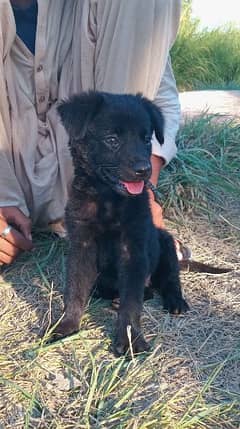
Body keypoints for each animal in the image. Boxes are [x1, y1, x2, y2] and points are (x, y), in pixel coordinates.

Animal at [50, 91, 189, 354]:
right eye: (112, 139)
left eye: (146, 139)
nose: (144, 170)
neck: (108, 201)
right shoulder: (81, 245)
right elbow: (74, 288)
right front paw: (67, 325)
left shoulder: (133, 250)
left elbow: (132, 301)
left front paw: (130, 339)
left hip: (165, 244)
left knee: (168, 279)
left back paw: (176, 301)